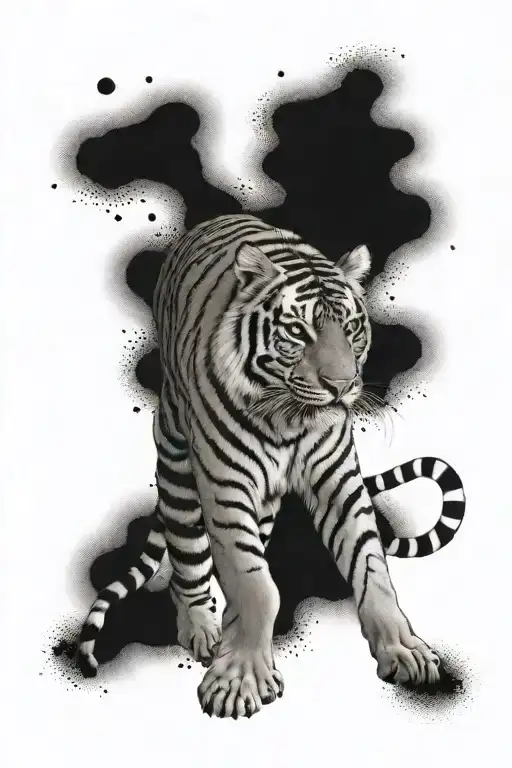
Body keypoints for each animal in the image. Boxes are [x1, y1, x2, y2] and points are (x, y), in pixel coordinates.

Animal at [78, 214, 465, 719]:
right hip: (178, 466)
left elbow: (372, 568)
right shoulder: (226, 487)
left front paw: (404, 651)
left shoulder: (338, 481)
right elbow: (254, 582)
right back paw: (202, 629)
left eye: (352, 327)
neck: (290, 419)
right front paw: (239, 678)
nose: (342, 386)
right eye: (298, 332)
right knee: (189, 559)